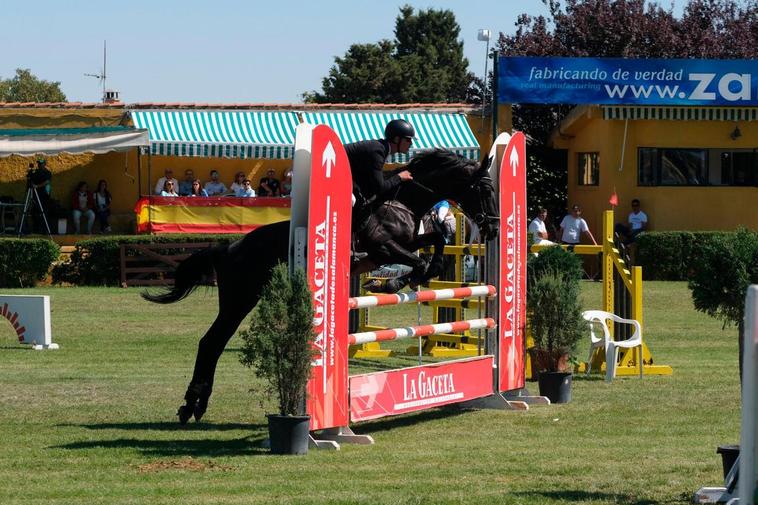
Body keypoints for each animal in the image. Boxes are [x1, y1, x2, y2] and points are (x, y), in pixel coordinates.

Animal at [144, 149, 498, 422]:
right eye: (484, 191)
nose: (493, 230)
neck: (405, 201)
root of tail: (230, 248)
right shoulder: (383, 247)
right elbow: (419, 261)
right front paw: (393, 282)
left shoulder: (409, 241)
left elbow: (435, 242)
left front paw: (407, 278)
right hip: (240, 299)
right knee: (211, 342)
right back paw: (190, 406)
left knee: (213, 344)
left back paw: (195, 406)